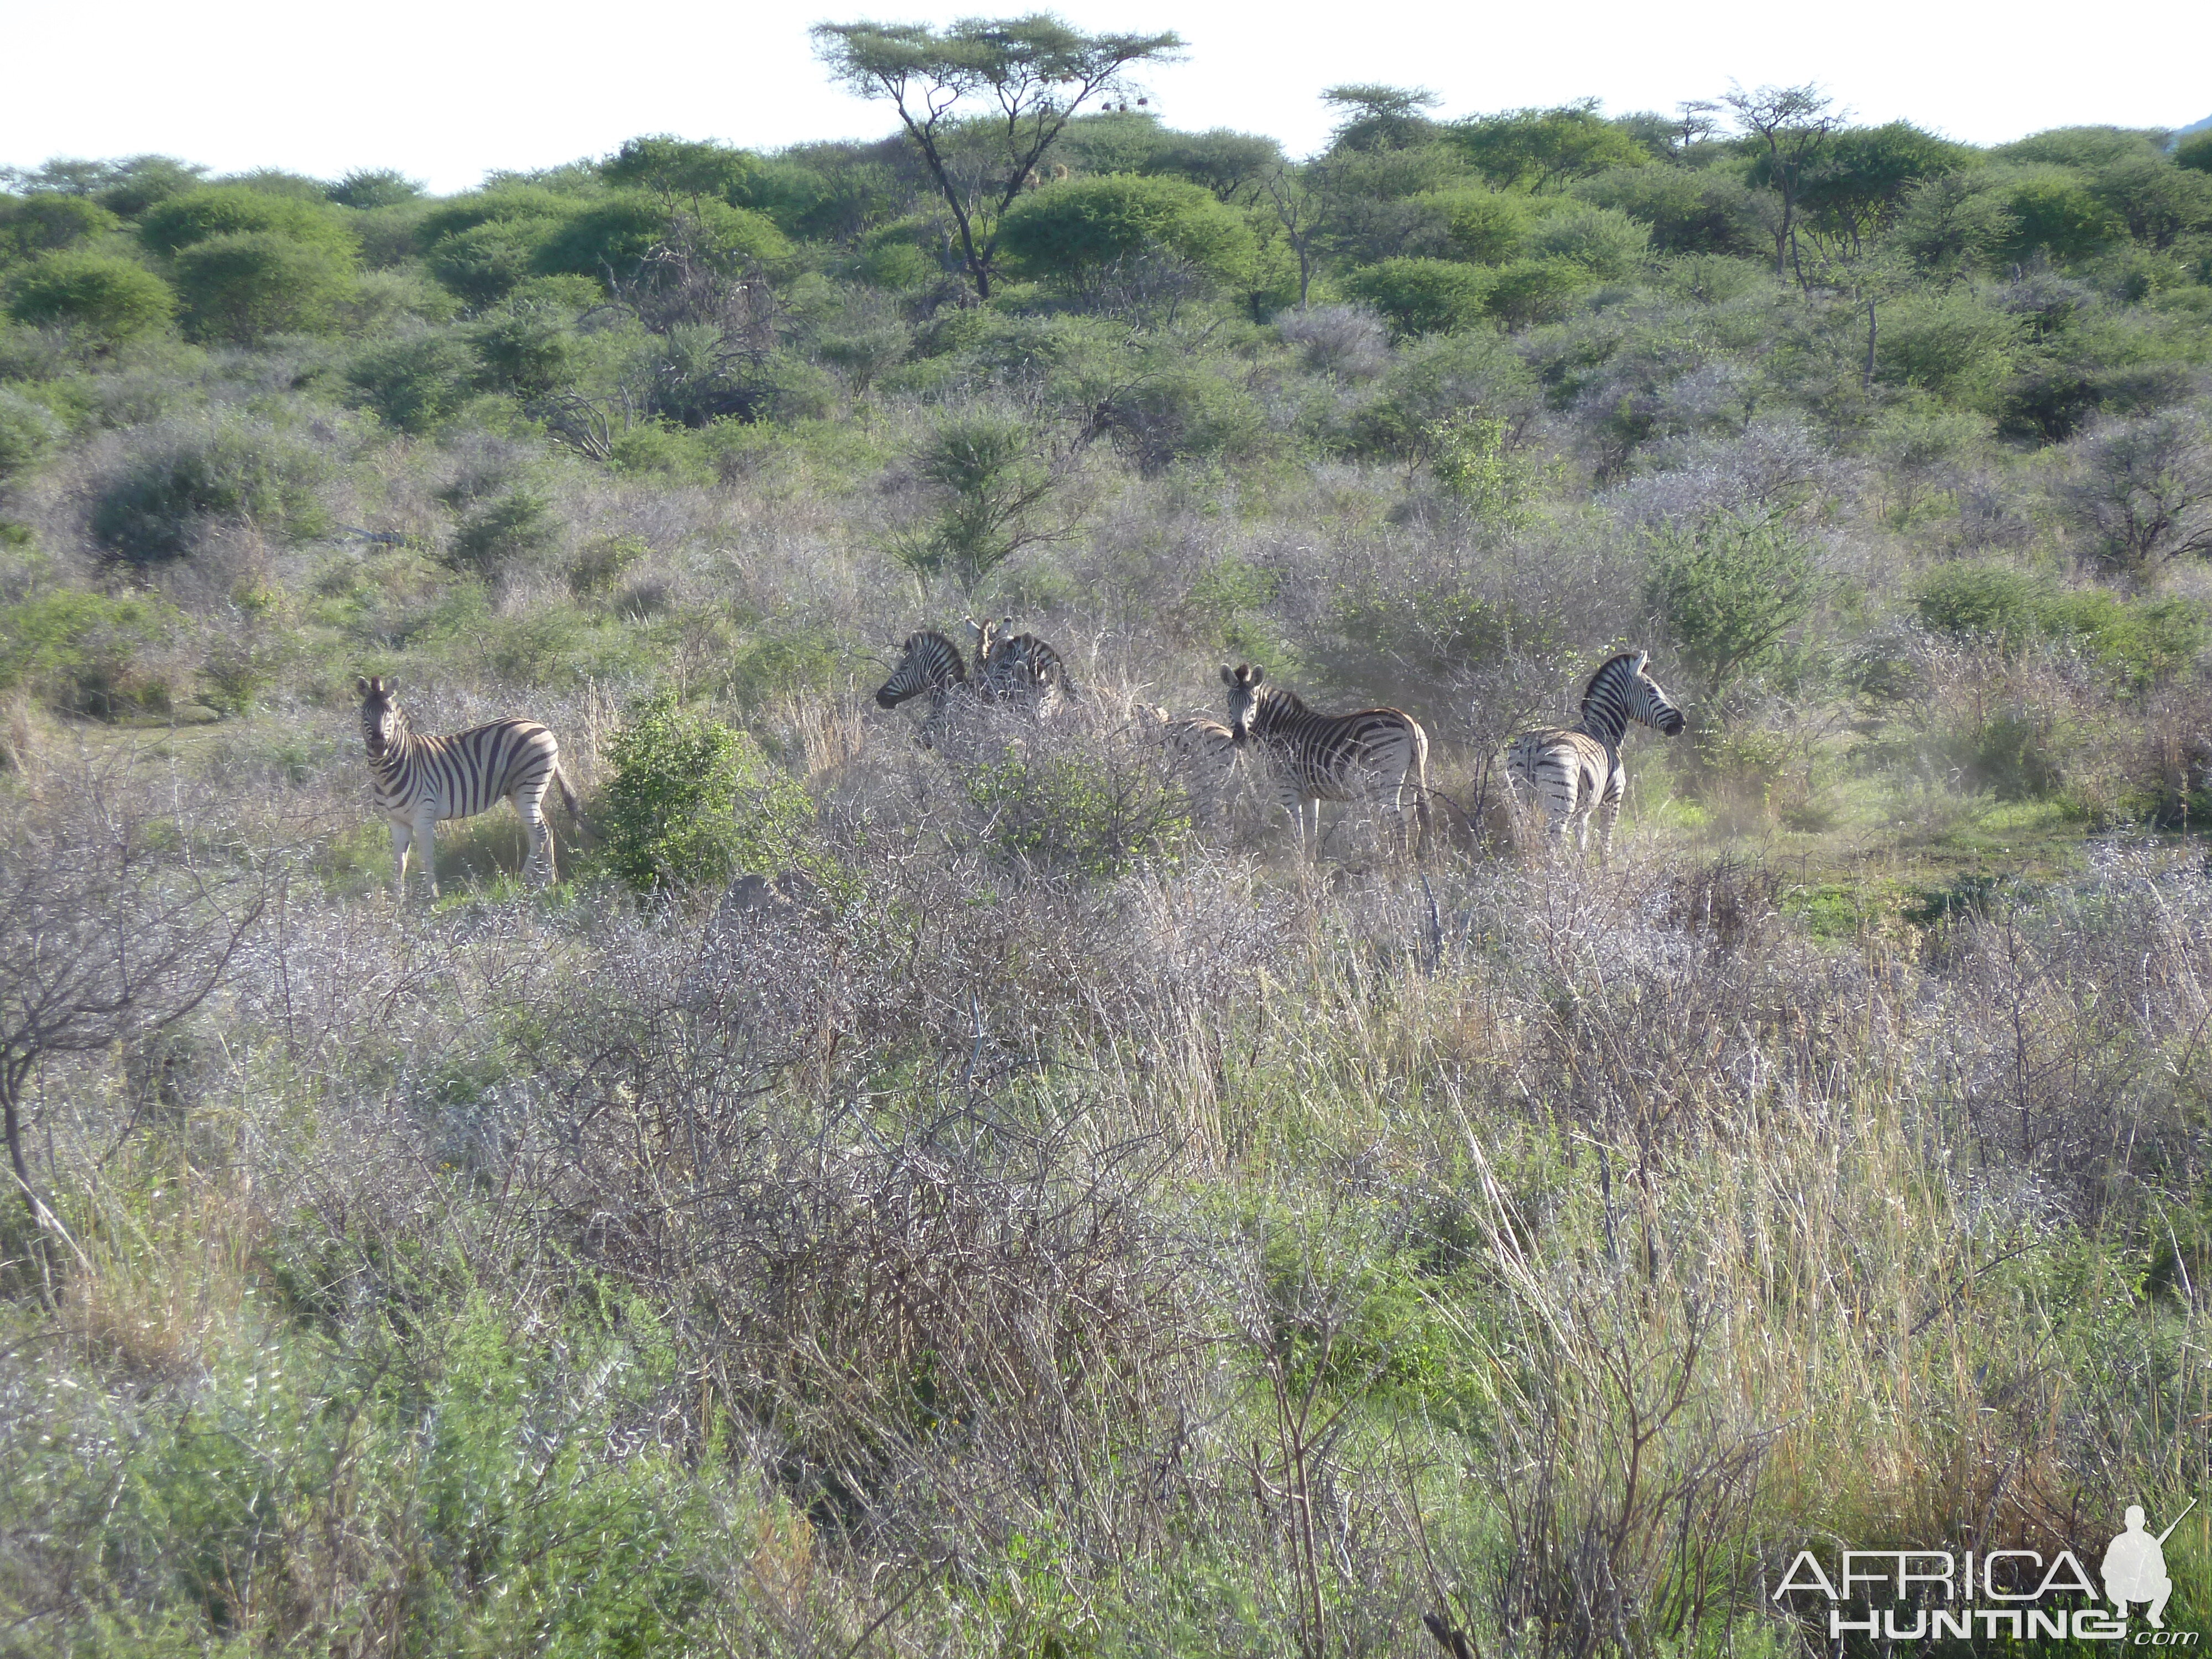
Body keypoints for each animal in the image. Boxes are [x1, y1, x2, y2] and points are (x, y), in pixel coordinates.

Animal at [354, 677, 580, 902]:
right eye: (364, 713)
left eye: (390, 713)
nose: (379, 745)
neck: (390, 770)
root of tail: (542, 726)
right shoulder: (396, 820)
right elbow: (399, 862)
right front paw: (397, 901)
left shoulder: (424, 816)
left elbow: (426, 858)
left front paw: (432, 897)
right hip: (521, 793)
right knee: (546, 830)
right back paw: (548, 881)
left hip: (529, 787)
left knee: (539, 833)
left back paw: (522, 882)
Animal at [1221, 664, 1425, 858]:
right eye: (1229, 702)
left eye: (1253, 703)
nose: (1240, 737)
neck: (1279, 729)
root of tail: (1403, 718)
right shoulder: (1311, 794)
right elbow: (1311, 838)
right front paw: (1310, 869)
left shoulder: (1287, 788)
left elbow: (1299, 836)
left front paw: (1299, 868)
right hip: (1410, 780)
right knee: (1414, 824)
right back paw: (1413, 865)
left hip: (1383, 781)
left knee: (1399, 825)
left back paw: (1400, 867)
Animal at [1513, 650, 1681, 858]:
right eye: (1652, 691)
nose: (1682, 722)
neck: (1605, 731)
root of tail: (1533, 742)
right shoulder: (1612, 800)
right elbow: (1605, 845)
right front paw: (1604, 867)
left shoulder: (1583, 811)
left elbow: (1582, 843)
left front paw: (1581, 865)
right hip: (1560, 800)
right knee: (1553, 846)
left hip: (1519, 799)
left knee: (1524, 840)